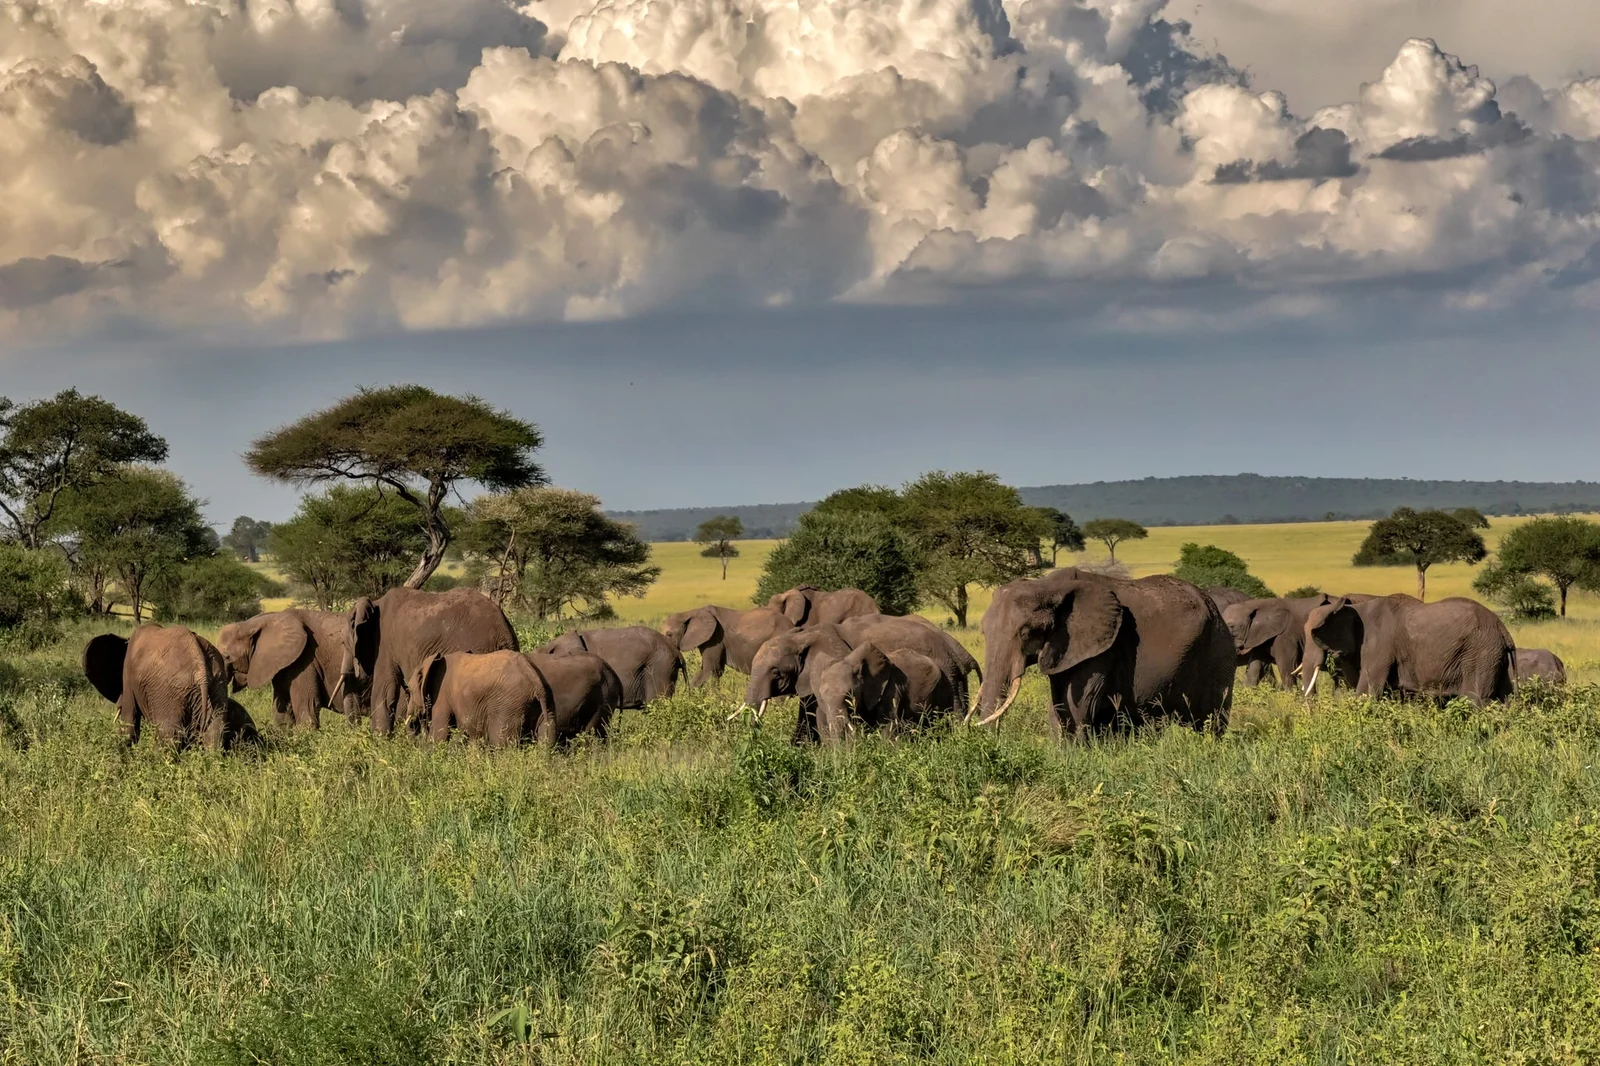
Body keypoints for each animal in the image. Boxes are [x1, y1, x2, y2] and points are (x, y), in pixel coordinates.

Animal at [83, 625, 260, 751]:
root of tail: (200, 667)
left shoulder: (128, 675)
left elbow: (129, 723)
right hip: (217, 686)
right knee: (213, 736)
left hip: (169, 692)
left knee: (169, 736)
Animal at [409, 650, 549, 747]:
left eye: (409, 690)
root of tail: (533, 676)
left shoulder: (441, 693)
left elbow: (439, 733)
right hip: (540, 704)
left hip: (509, 705)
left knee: (501, 743)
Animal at [975, 568, 1234, 737]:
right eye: (983, 632)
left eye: (1026, 632)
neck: (1047, 587)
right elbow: (1059, 704)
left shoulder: (1102, 647)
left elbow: (1077, 704)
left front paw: (1076, 756)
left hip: (1217, 647)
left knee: (1212, 717)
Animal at [1299, 595, 1515, 705]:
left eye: (1314, 635)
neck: (1355, 608)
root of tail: (1502, 628)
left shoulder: (1378, 646)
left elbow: (1367, 691)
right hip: (1495, 656)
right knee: (1504, 698)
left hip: (1480, 653)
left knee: (1475, 698)